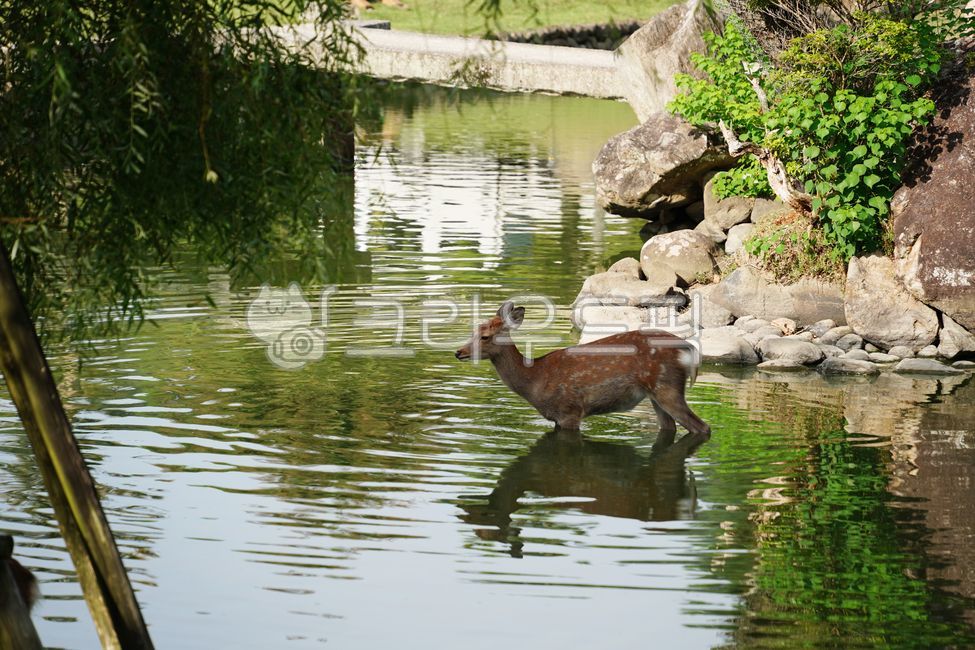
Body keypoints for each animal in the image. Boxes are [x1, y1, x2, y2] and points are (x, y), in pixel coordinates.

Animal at [455, 301, 710, 439]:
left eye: (485, 336)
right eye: (474, 330)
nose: (458, 352)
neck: (534, 380)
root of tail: (688, 350)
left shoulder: (569, 410)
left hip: (666, 386)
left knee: (702, 427)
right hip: (656, 393)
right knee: (670, 427)